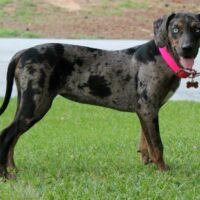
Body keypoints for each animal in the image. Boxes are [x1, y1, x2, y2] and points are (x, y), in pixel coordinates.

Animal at [0, 12, 200, 178]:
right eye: (175, 29)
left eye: (197, 28)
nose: (187, 48)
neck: (164, 57)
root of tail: (23, 52)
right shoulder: (148, 108)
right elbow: (157, 144)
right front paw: (165, 172)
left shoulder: (147, 110)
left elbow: (145, 140)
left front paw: (147, 162)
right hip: (36, 104)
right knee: (7, 134)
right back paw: (5, 175)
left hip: (26, 101)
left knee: (14, 137)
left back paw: (12, 168)